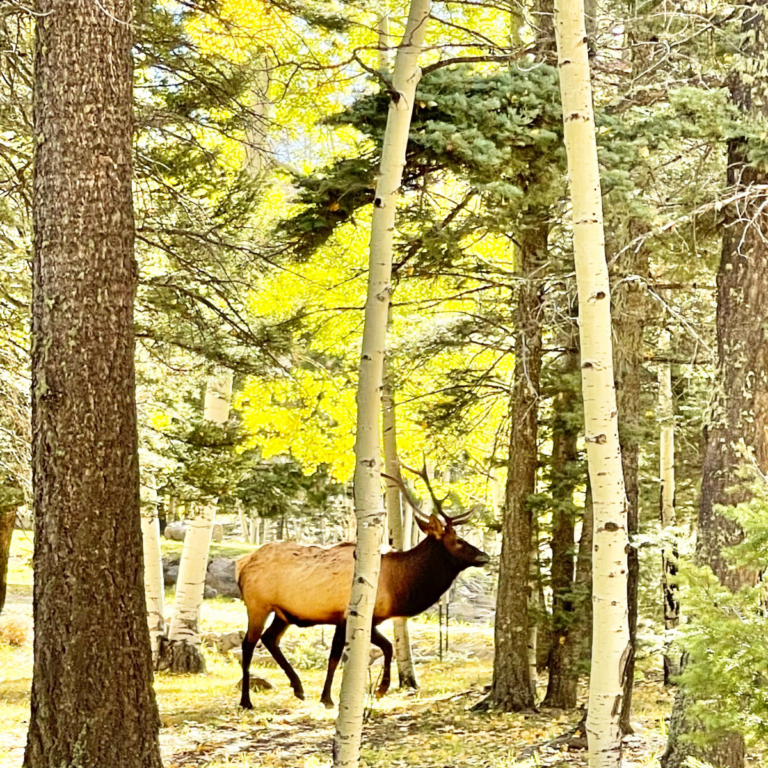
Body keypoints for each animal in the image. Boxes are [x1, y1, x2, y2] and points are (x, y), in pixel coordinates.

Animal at [234, 462, 488, 708]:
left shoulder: (364, 619)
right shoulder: (349, 615)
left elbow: (383, 647)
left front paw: (374, 689)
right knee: (248, 645)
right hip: (257, 605)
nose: (484, 556)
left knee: (270, 639)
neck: (397, 585)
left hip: (283, 613)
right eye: (458, 541)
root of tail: (242, 564)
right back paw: (247, 700)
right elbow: (341, 656)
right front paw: (337, 697)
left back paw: (298, 688)